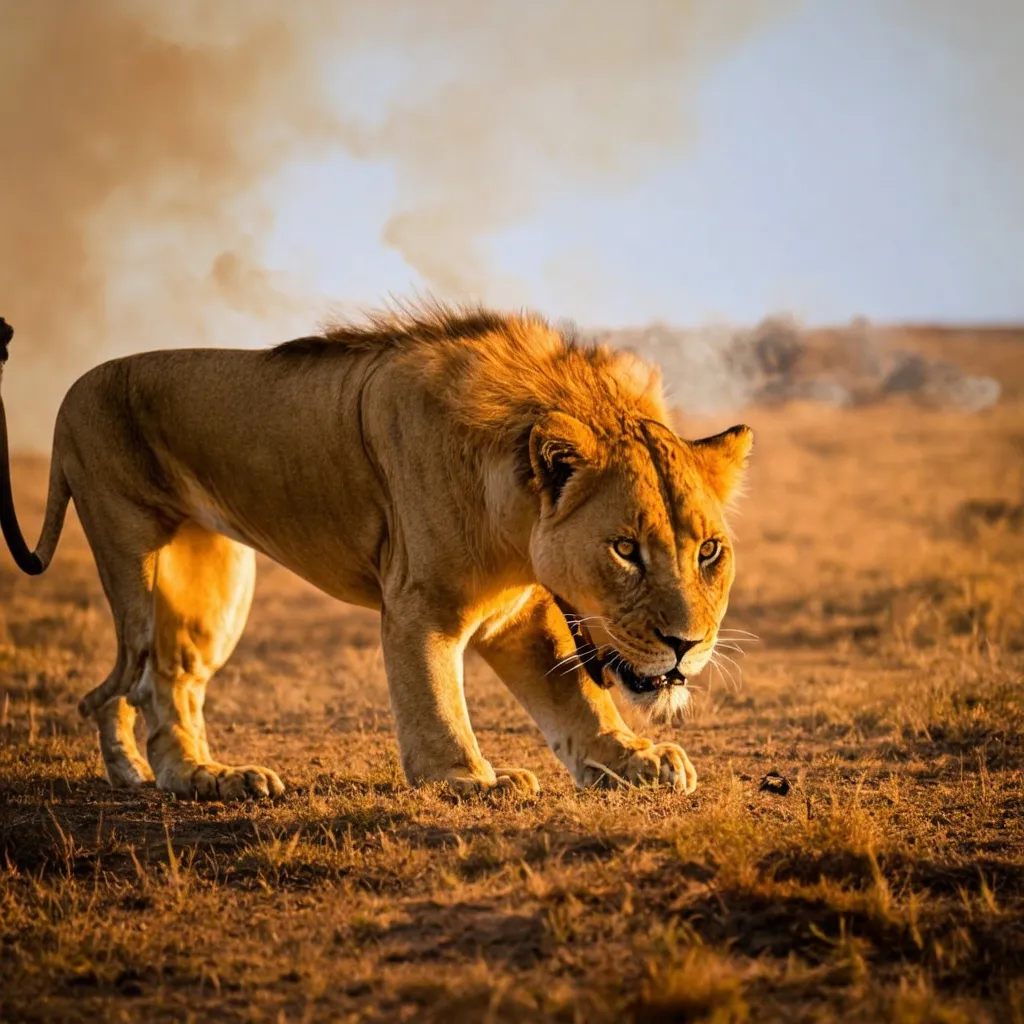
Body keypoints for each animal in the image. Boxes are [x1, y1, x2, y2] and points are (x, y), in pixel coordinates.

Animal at [0, 303, 753, 798]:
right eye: (625, 549)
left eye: (709, 552)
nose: (686, 645)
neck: (515, 517)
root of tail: (71, 393)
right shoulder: (422, 602)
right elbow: (434, 697)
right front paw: (466, 781)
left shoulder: (517, 610)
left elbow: (577, 698)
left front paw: (632, 760)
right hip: (138, 560)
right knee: (132, 681)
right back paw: (163, 774)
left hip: (213, 587)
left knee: (165, 682)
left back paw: (208, 777)